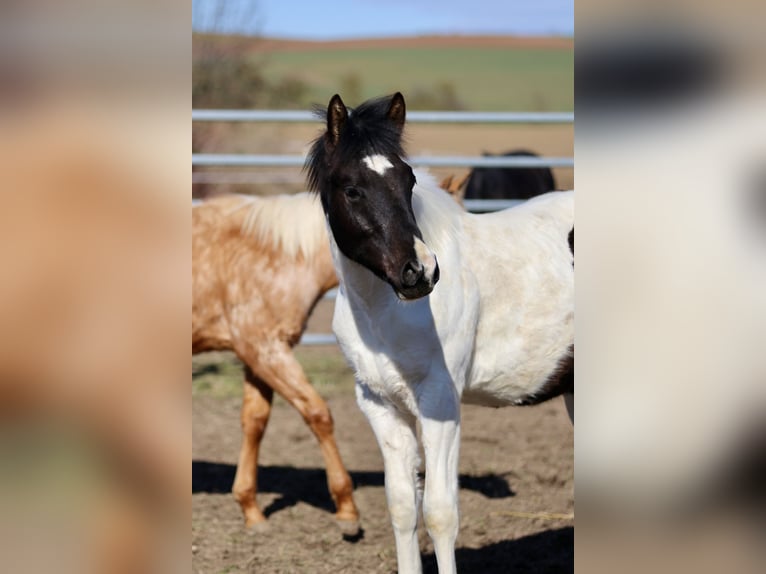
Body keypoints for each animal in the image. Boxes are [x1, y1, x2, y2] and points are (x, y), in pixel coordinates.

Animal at [192, 193, 360, 535]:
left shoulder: (256, 356)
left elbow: (255, 421)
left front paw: (251, 511)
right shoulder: (266, 350)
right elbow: (318, 413)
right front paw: (347, 510)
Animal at [305, 92, 574, 573]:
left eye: (408, 180)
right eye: (352, 188)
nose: (420, 272)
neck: (384, 312)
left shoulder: (440, 403)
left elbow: (439, 512)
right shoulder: (380, 405)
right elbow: (402, 508)